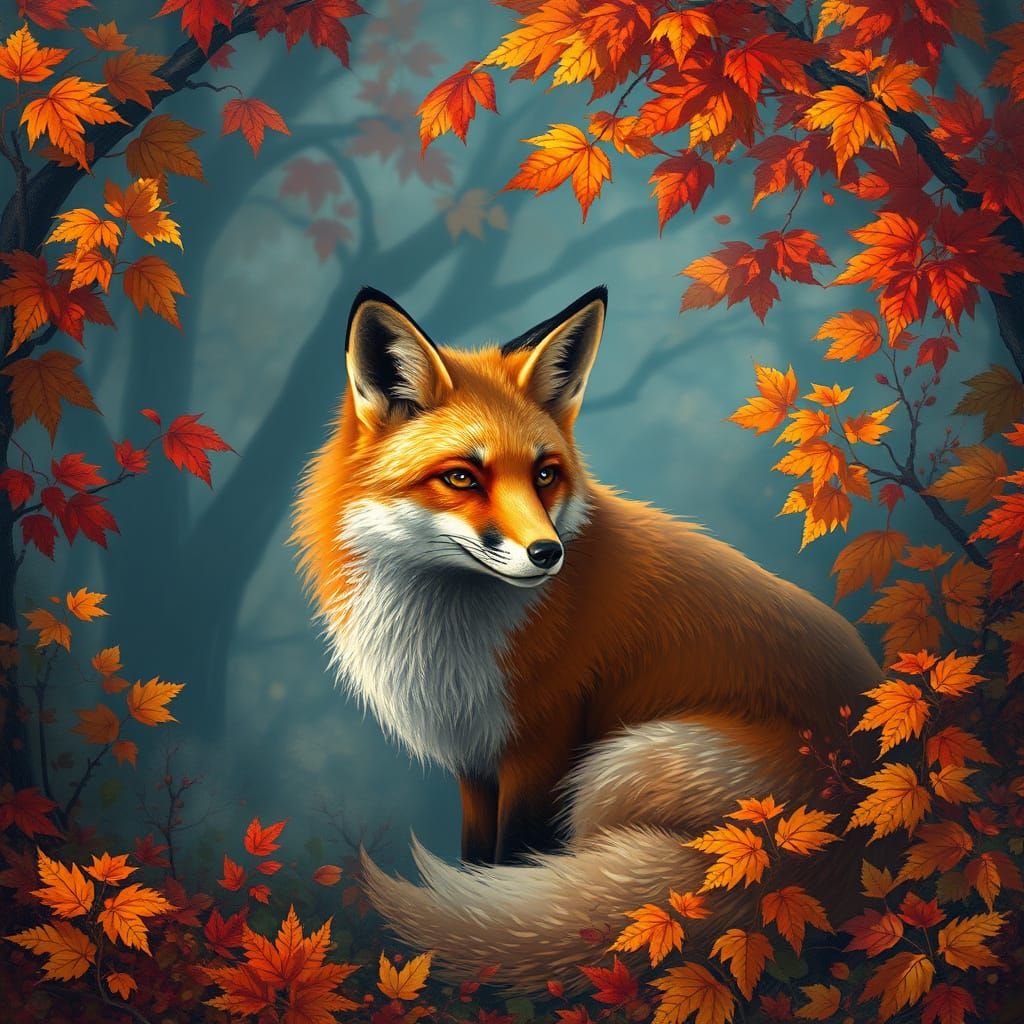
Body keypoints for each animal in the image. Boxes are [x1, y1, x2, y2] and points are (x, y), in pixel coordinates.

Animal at [291, 284, 884, 993]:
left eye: (545, 474)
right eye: (462, 477)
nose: (547, 554)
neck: (448, 639)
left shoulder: (541, 749)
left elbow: (509, 864)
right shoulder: (474, 758)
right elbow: (476, 865)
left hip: (616, 769)